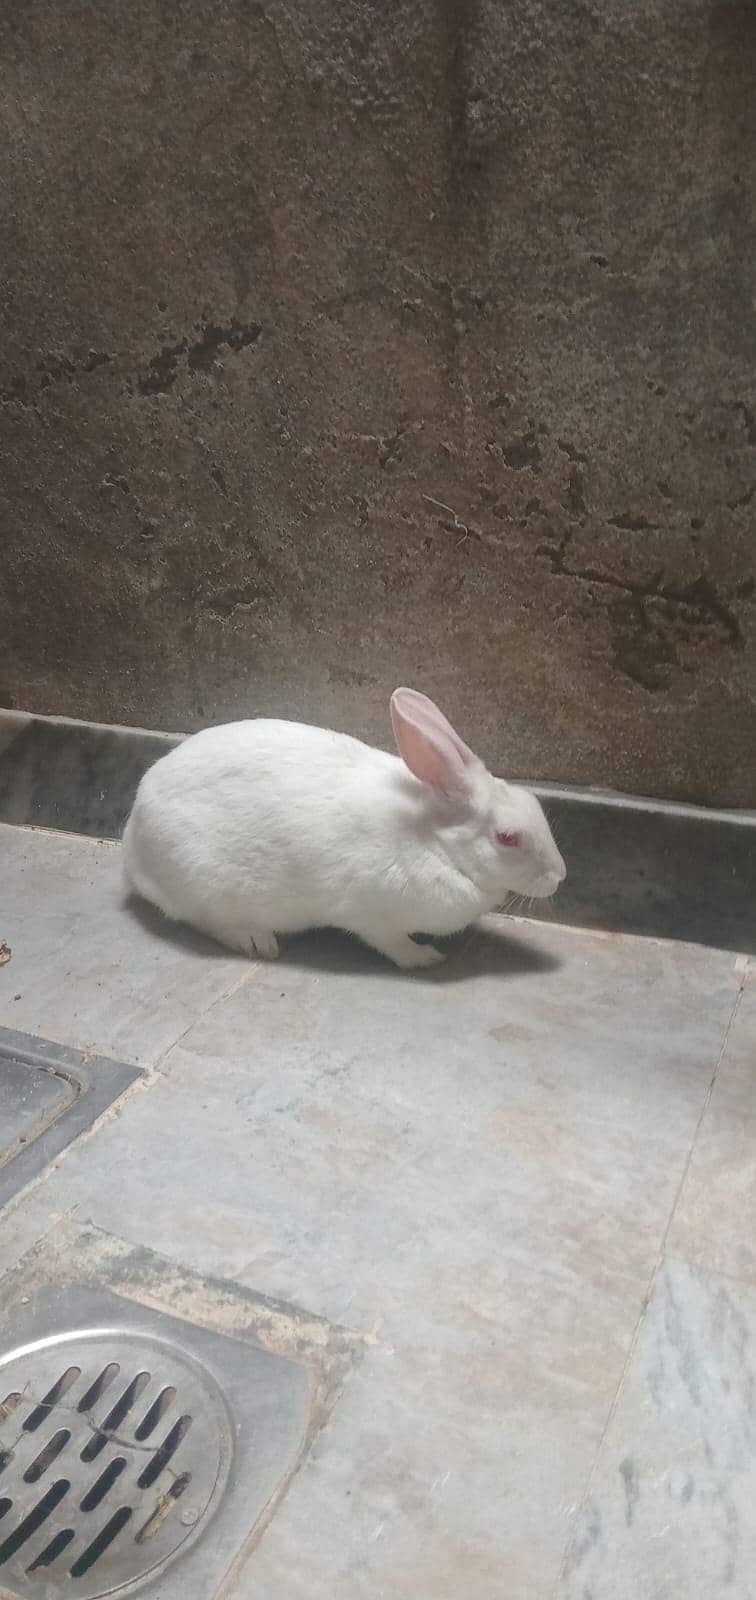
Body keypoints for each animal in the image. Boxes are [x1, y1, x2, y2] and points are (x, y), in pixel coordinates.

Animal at [122, 687, 566, 969]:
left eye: (535, 804)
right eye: (507, 838)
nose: (559, 876)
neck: (434, 842)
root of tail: (133, 841)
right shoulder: (370, 915)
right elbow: (393, 944)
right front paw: (426, 958)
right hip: (204, 882)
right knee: (203, 919)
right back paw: (258, 941)